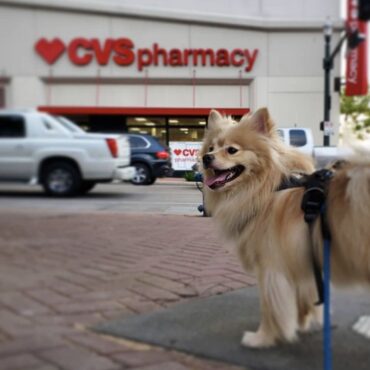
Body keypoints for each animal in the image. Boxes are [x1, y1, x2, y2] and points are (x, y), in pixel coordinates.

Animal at [201, 108, 370, 348]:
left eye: (232, 150)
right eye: (211, 148)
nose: (206, 158)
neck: (267, 188)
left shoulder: (271, 268)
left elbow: (270, 308)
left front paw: (262, 338)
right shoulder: (303, 265)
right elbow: (304, 301)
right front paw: (302, 324)